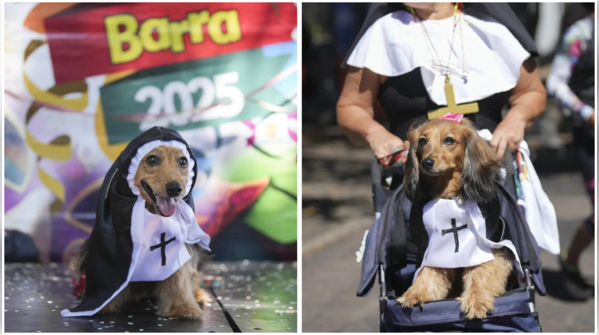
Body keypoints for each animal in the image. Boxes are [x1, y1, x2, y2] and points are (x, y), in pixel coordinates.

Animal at [71, 146, 211, 318]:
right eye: (152, 159)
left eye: (183, 161)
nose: (175, 189)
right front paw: (100, 305)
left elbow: (180, 276)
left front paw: (182, 306)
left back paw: (198, 294)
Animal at [398, 118, 516, 320]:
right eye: (422, 141)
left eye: (449, 140)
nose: (426, 163)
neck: (449, 196)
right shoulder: (431, 249)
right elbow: (427, 273)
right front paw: (416, 292)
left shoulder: (487, 248)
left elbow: (481, 274)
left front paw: (476, 300)